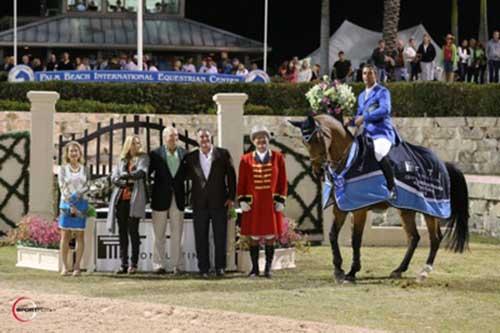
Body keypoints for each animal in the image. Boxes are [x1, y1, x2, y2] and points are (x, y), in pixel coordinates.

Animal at [292, 114, 470, 282]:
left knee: (435, 238)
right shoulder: (340, 207)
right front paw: (338, 269)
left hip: (430, 209)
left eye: (317, 138)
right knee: (414, 237)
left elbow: (356, 239)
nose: (318, 171)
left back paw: (424, 272)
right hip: (406, 209)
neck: (350, 162)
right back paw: (399, 270)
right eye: (304, 141)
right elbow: (332, 235)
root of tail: (443, 164)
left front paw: (352, 272)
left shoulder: (360, 210)